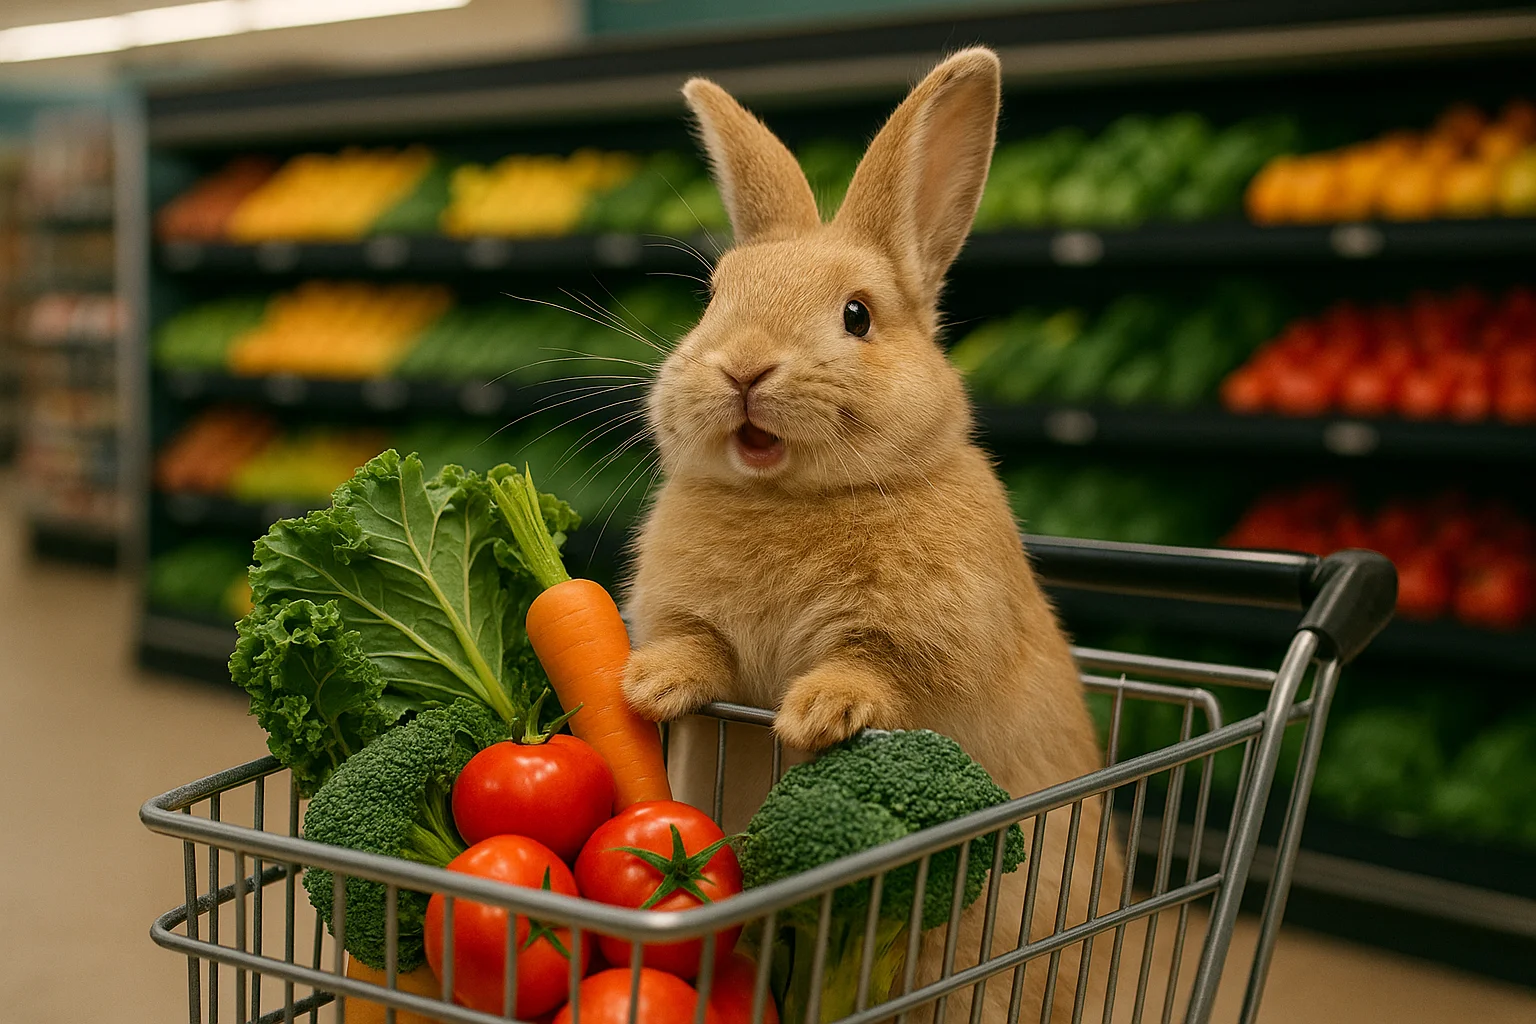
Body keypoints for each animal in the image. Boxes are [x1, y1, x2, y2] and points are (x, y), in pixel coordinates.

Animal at [620, 48, 1120, 1023]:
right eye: (713, 300)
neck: (791, 498)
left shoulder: (927, 644)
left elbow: (876, 669)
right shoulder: (690, 620)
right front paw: (648, 687)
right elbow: (695, 648)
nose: (742, 367)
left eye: (857, 314)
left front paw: (820, 710)